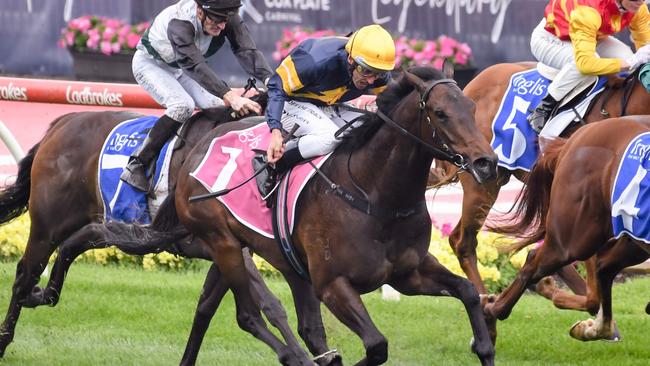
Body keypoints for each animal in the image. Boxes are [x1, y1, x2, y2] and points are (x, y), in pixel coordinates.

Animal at [0, 104, 334, 364]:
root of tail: (62, 123)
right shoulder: (220, 241)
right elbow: (270, 305)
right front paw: (300, 355)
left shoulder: (226, 247)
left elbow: (206, 308)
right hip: (48, 226)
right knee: (25, 274)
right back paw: (8, 333)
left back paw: (39, 296)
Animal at [95, 66, 496, 366]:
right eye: (441, 113)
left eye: (472, 107)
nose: (485, 162)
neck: (375, 194)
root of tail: (195, 149)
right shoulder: (333, 284)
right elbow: (376, 345)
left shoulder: (407, 274)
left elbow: (469, 293)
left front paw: (483, 345)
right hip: (224, 243)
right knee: (249, 315)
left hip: (275, 259)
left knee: (251, 315)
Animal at [484, 116, 648, 342]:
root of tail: (573, 139)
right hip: (575, 237)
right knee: (535, 260)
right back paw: (493, 310)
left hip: (630, 236)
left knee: (604, 266)